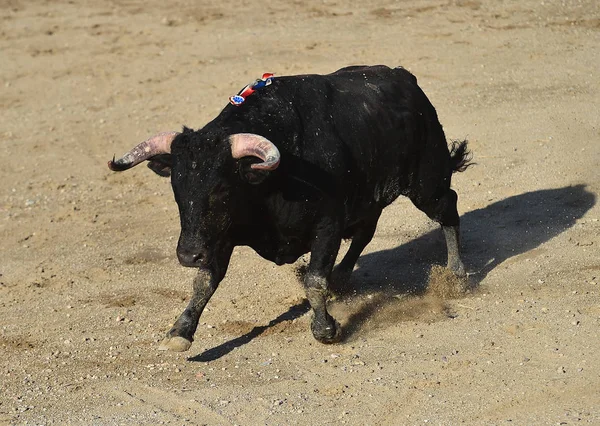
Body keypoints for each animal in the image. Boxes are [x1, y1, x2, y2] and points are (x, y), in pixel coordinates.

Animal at [110, 65, 472, 352]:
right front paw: (180, 331)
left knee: (447, 207)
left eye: (222, 188)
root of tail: (406, 79)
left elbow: (314, 279)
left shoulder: (327, 225)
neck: (275, 179)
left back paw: (456, 276)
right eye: (177, 188)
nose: (187, 255)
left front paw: (325, 329)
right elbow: (205, 281)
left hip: (426, 182)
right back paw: (343, 277)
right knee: (366, 231)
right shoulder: (220, 235)